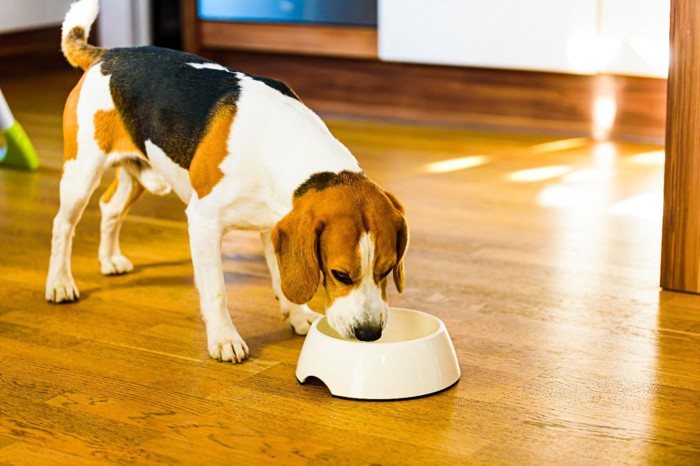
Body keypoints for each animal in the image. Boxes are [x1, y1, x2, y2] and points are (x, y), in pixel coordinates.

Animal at [46, 0, 408, 362]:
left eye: (387, 270)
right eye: (339, 274)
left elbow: (281, 278)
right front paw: (224, 338)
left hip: (138, 173)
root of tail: (108, 54)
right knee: (63, 226)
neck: (278, 140)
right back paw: (60, 283)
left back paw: (109, 259)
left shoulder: (273, 225)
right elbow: (217, 290)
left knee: (110, 207)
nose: (369, 334)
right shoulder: (204, 223)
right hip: (81, 174)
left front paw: (298, 315)